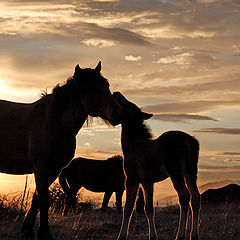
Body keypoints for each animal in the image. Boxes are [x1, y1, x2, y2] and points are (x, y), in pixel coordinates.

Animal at [0, 62, 122, 240]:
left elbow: (37, 199)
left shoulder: (53, 170)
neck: (54, 122)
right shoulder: (41, 168)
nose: (118, 114)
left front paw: (27, 231)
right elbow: (44, 200)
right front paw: (44, 234)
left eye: (107, 86)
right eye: (91, 89)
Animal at [113, 92, 200, 240]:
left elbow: (128, 208)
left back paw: (180, 235)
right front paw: (153, 236)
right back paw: (193, 235)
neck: (130, 146)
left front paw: (121, 235)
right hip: (190, 171)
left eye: (128, 103)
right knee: (195, 197)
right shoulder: (147, 182)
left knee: (184, 196)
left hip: (175, 170)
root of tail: (189, 141)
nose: (117, 93)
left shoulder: (131, 179)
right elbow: (148, 209)